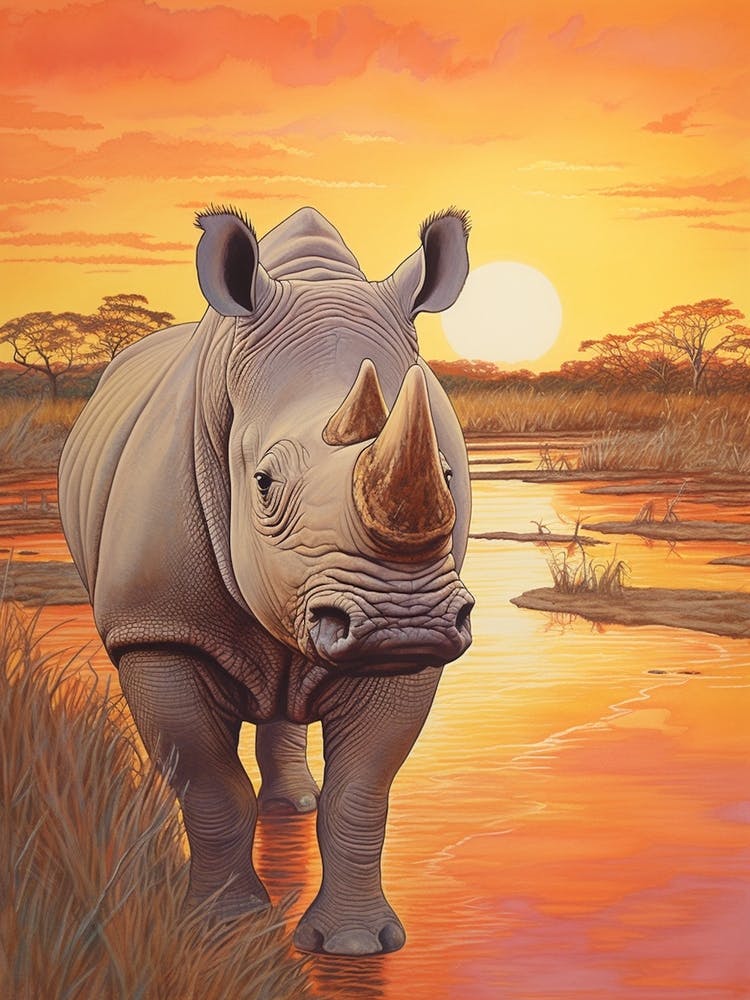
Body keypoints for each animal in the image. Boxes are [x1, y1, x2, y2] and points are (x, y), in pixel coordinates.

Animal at [58, 205, 474, 956]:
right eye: (263, 483)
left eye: (450, 474)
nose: (402, 623)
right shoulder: (158, 632)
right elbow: (208, 786)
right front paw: (221, 927)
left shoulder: (417, 657)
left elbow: (362, 792)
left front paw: (356, 946)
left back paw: (293, 804)